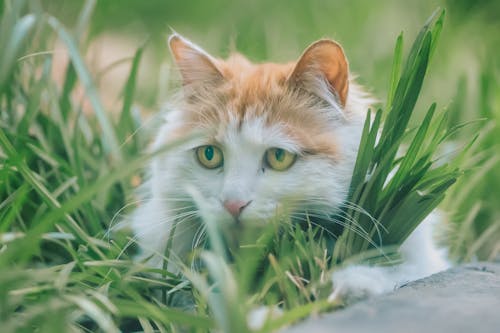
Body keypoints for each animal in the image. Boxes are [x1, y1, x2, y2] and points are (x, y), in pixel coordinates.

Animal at [129, 33, 450, 304]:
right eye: (209, 155)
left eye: (279, 157)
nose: (233, 205)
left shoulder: (423, 260)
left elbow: (390, 273)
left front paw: (348, 285)